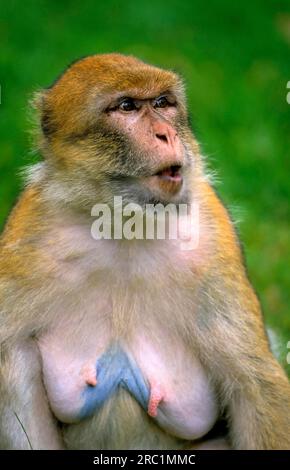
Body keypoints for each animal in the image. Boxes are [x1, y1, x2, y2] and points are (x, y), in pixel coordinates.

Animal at [0, 52, 290, 452]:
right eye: (127, 107)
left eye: (163, 103)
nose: (166, 134)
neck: (125, 225)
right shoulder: (27, 238)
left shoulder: (214, 241)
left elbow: (254, 384)